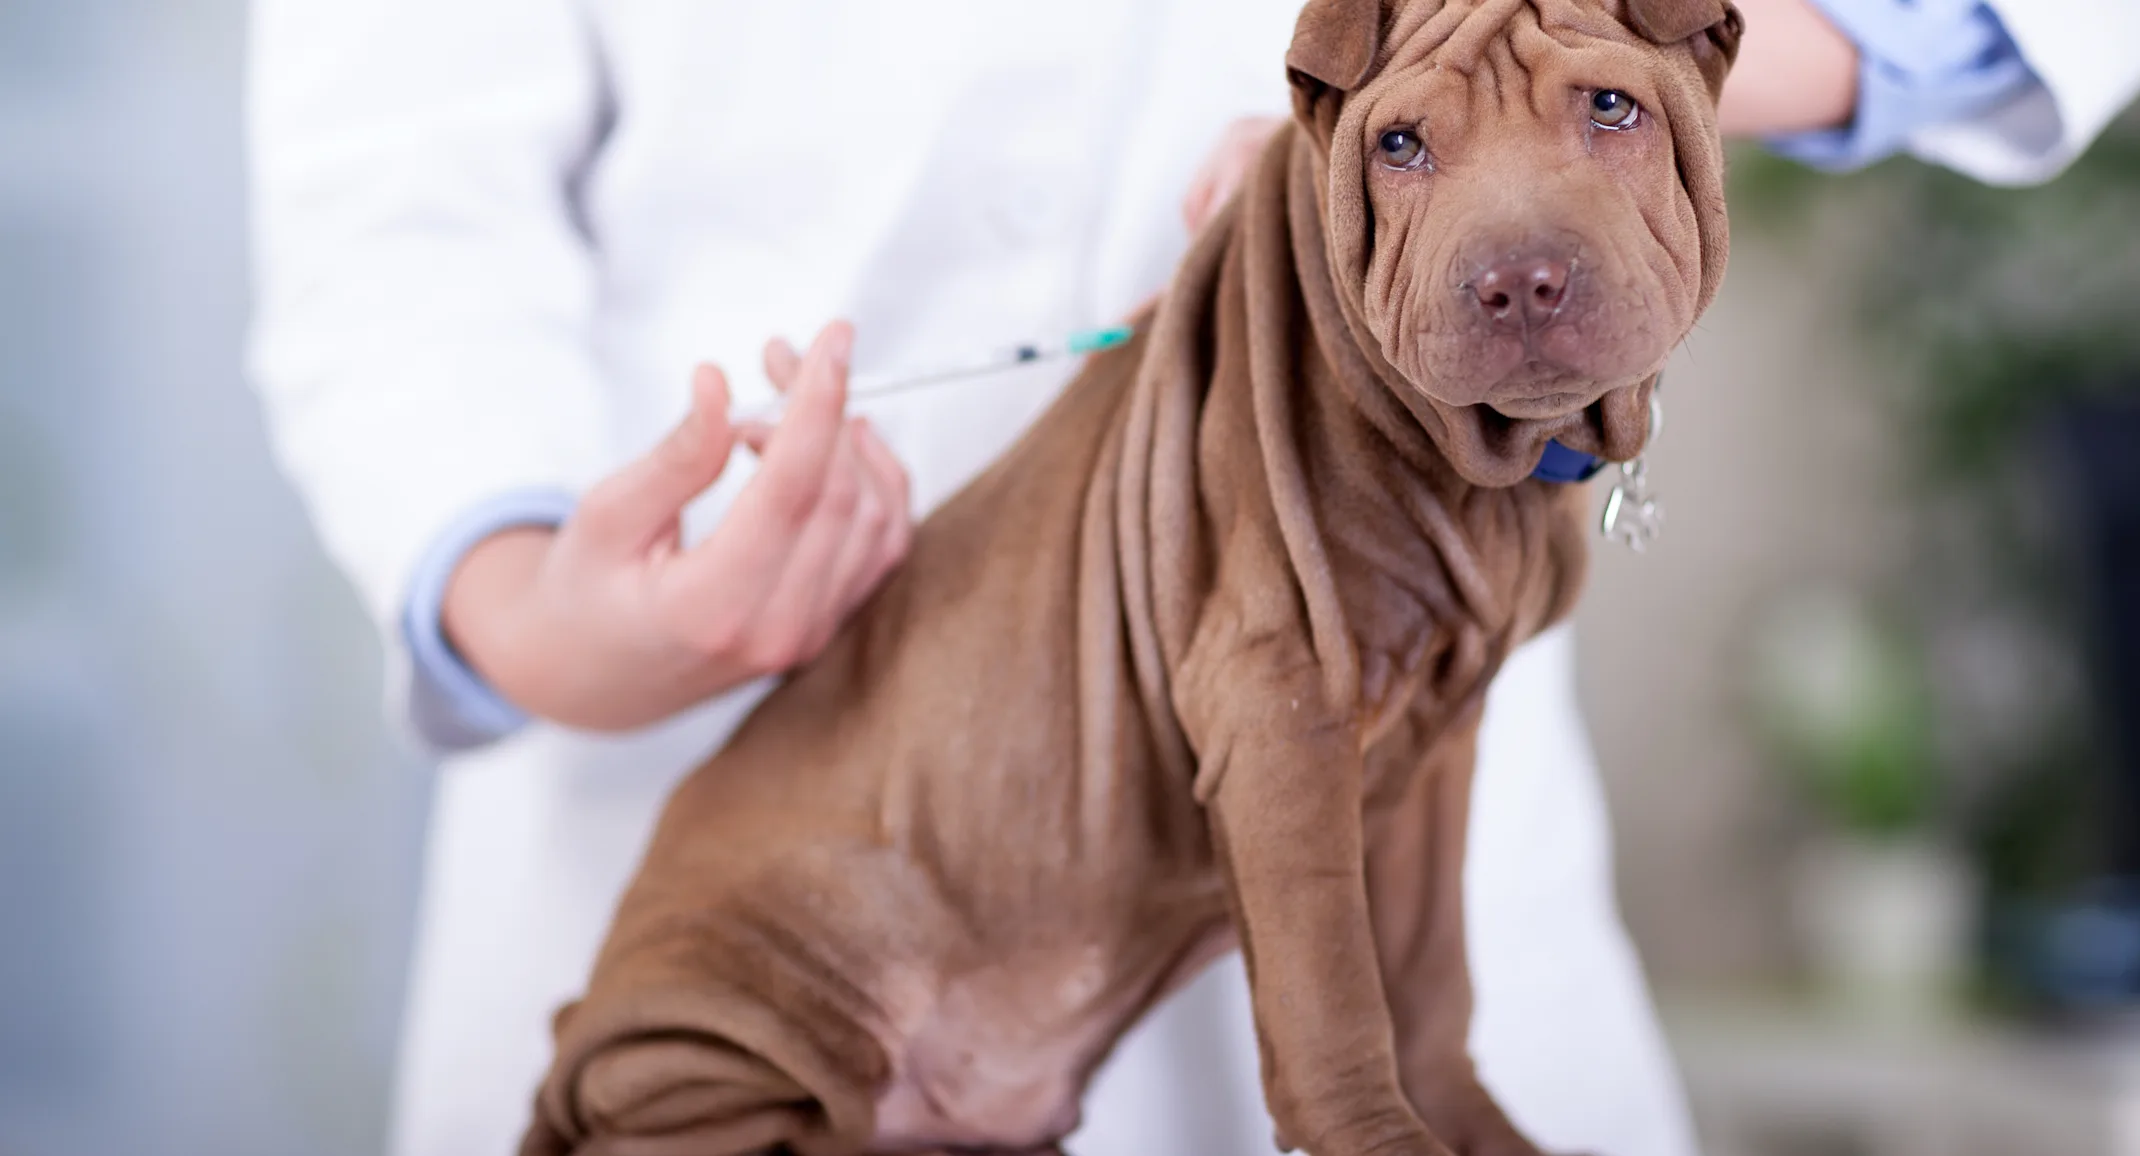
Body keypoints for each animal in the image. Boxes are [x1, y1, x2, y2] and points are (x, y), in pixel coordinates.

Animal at [517, 2, 1737, 1156]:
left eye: (1613, 110)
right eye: (1400, 145)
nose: (1518, 282)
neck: (1487, 472)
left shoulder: (1439, 749)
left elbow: (1431, 972)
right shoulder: (1279, 704)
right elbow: (1331, 986)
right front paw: (1381, 1135)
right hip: (747, 1008)